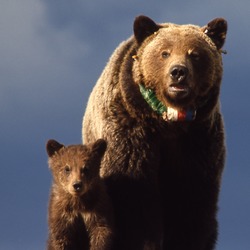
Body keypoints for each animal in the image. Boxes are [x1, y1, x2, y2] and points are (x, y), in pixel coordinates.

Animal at [82, 15, 227, 250]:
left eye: (195, 54)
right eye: (164, 52)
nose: (178, 72)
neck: (167, 123)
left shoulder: (197, 142)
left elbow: (192, 202)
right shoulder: (130, 134)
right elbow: (136, 199)